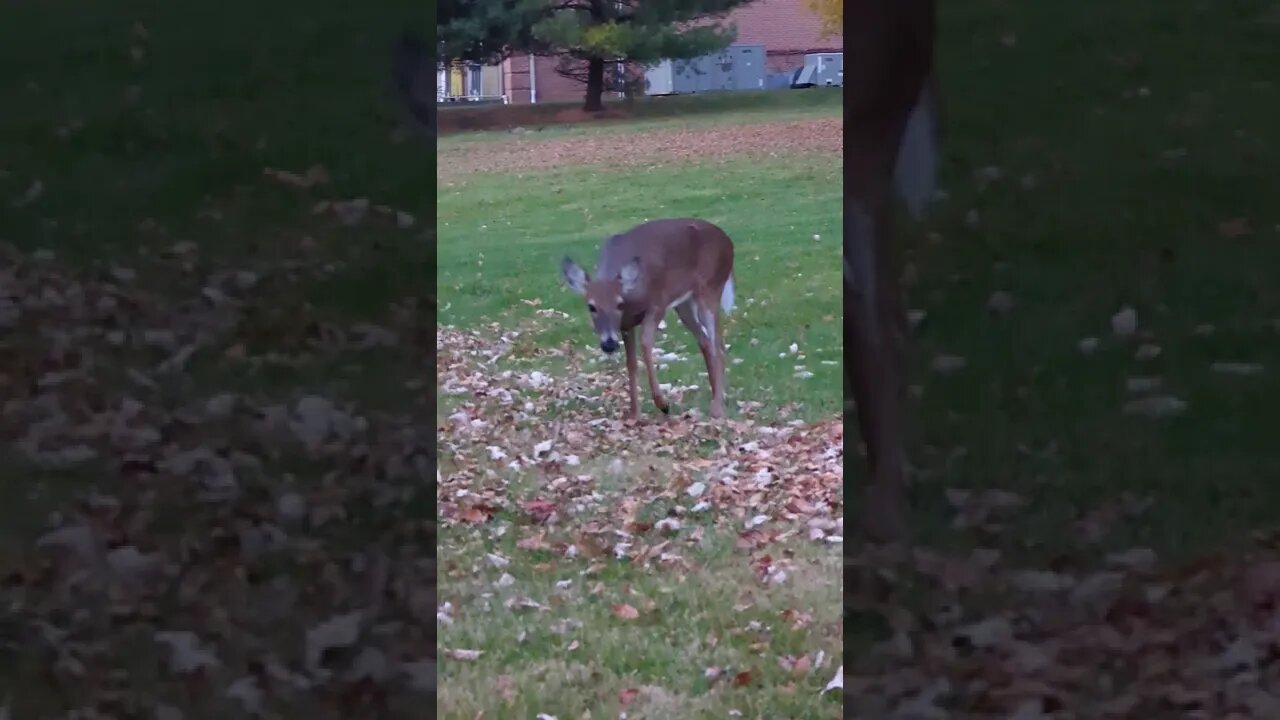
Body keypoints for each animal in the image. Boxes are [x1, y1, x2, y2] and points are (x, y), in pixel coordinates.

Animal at [563, 219, 737, 420]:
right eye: (591, 306)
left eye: (619, 304)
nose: (609, 344)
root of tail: (728, 241)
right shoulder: (626, 324)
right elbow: (630, 363)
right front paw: (634, 414)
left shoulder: (658, 303)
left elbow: (646, 344)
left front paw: (663, 404)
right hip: (684, 304)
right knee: (706, 342)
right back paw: (716, 396)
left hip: (710, 288)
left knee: (719, 347)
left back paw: (717, 408)